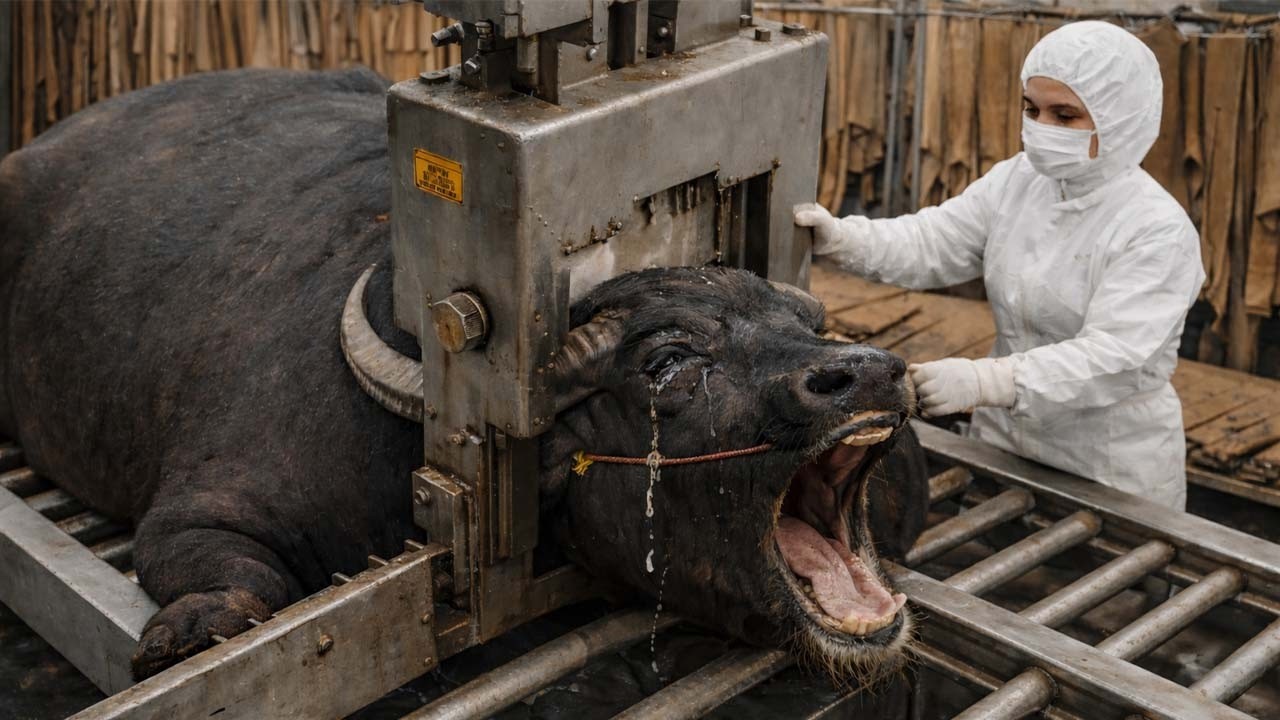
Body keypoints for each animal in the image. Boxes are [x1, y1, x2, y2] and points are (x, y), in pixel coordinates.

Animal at [0, 67, 928, 689]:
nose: (864, 375)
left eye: (804, 324)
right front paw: (195, 631)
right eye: (667, 363)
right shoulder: (204, 510)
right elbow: (231, 578)